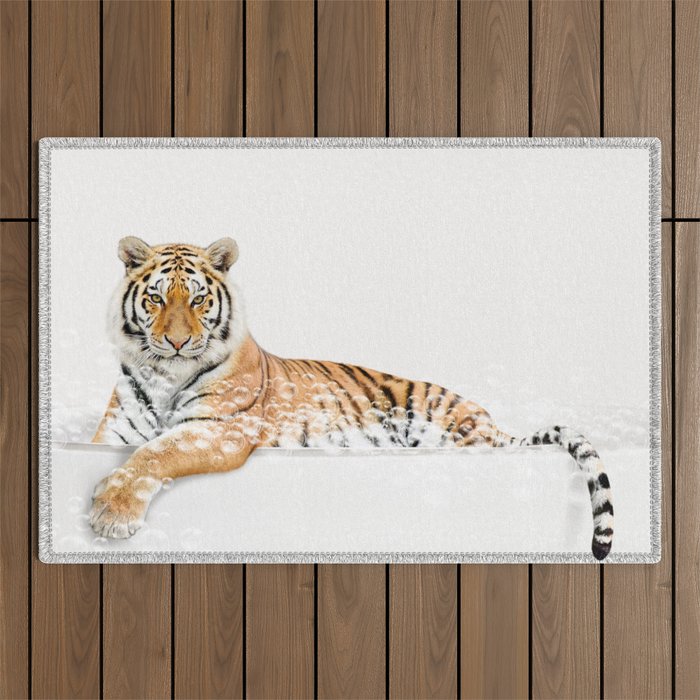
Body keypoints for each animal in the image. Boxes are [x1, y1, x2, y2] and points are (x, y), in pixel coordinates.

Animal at [90, 236, 614, 560]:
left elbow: (157, 453)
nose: (178, 343)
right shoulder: (113, 432)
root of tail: (493, 423)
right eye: (157, 298)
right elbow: (137, 449)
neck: (166, 375)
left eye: (198, 300)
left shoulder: (222, 428)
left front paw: (110, 514)